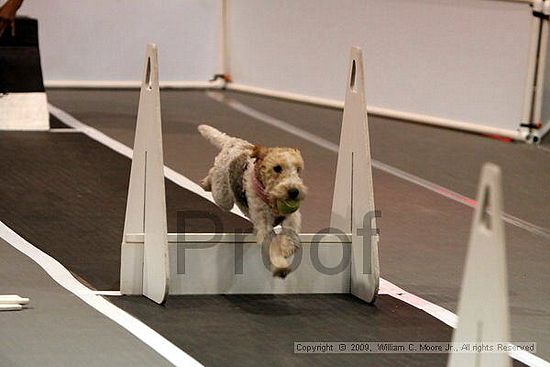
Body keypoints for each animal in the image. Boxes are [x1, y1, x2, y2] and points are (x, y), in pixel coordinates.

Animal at [197, 125, 308, 278]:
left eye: (298, 169)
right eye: (277, 168)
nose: (294, 191)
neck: (270, 198)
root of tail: (234, 141)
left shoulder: (292, 216)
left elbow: (290, 231)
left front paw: (286, 247)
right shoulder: (264, 224)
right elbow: (272, 245)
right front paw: (281, 266)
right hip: (223, 195)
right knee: (213, 175)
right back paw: (206, 183)